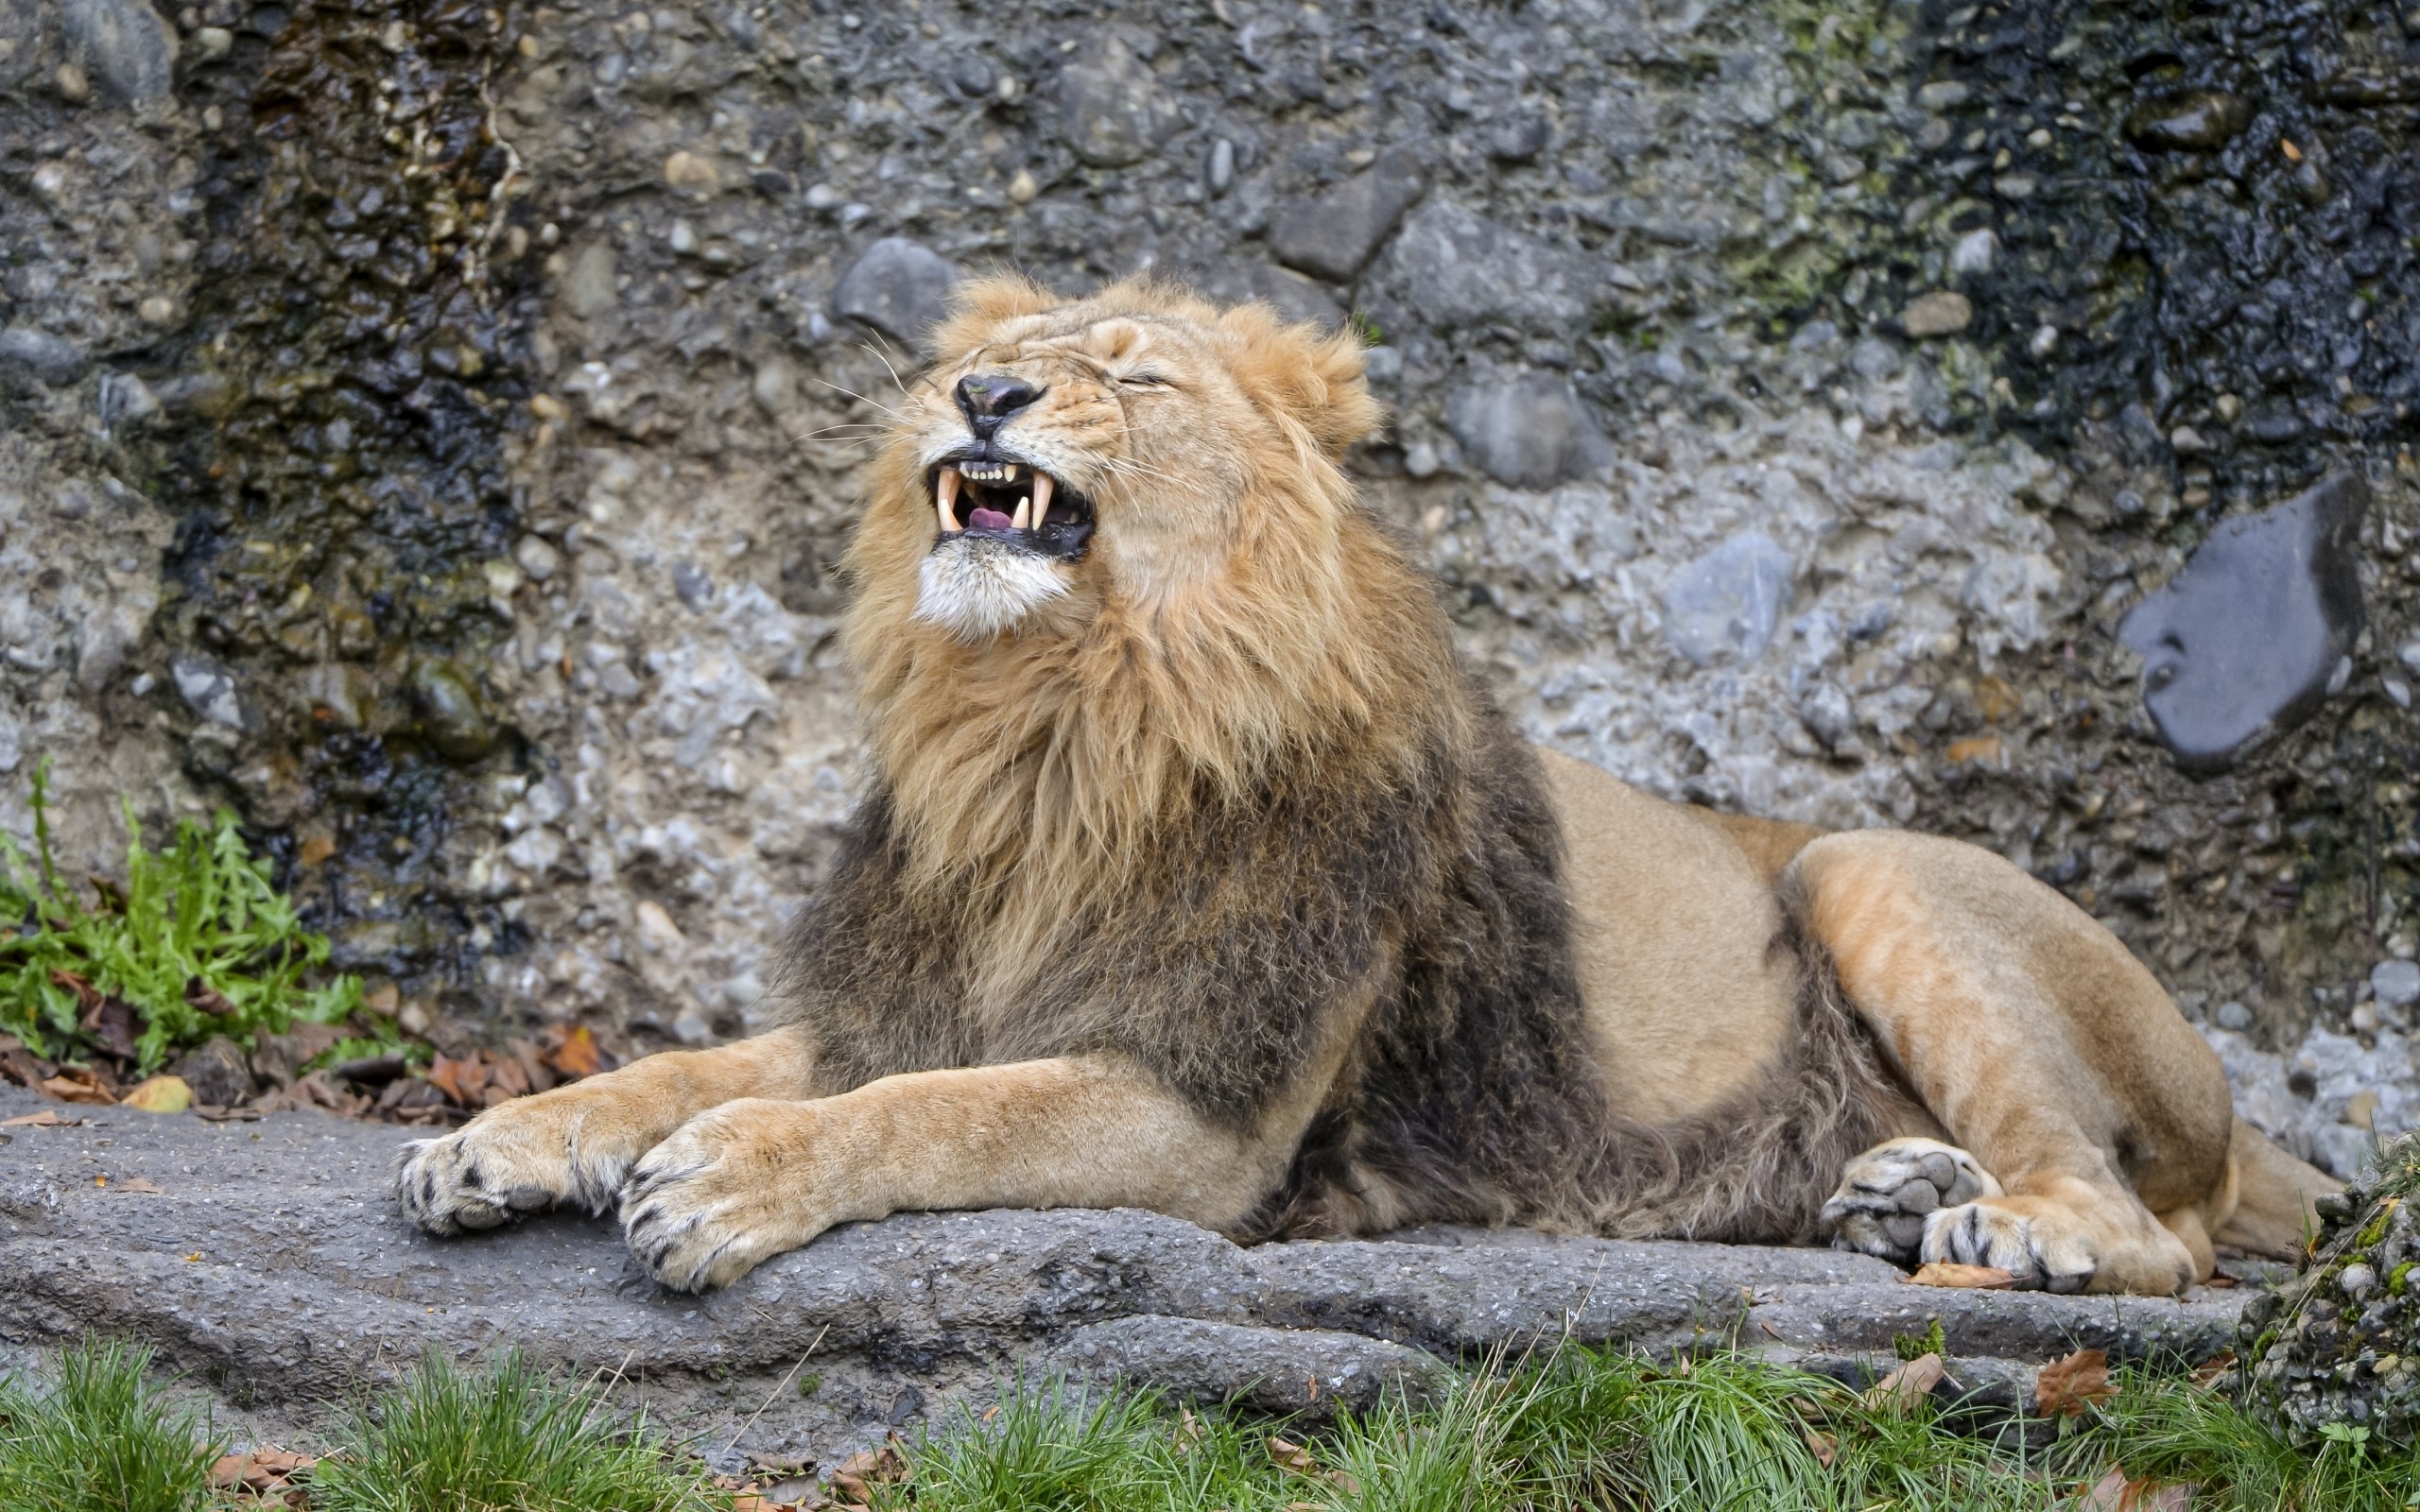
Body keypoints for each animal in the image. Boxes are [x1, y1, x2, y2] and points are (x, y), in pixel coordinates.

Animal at [401, 277, 2342, 1286]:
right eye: (986, 349)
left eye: (1128, 369)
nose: (984, 388)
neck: (1051, 730)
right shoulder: (929, 987)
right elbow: (696, 1063)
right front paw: (497, 1140)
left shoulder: (1204, 1103)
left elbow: (933, 1115)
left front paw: (727, 1184)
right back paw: (1899, 1194)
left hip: (1867, 863)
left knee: (2152, 1229)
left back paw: (2007, 1232)